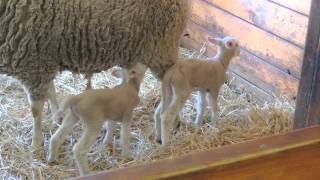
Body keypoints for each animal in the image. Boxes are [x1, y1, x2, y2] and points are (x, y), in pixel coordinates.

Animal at [0, 0, 189, 149]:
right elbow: (51, 91)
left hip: (162, 45)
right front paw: (57, 117)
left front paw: (35, 142)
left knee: (173, 87)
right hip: (139, 51)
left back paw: (170, 123)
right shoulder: (44, 59)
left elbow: (35, 110)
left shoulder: (33, 62)